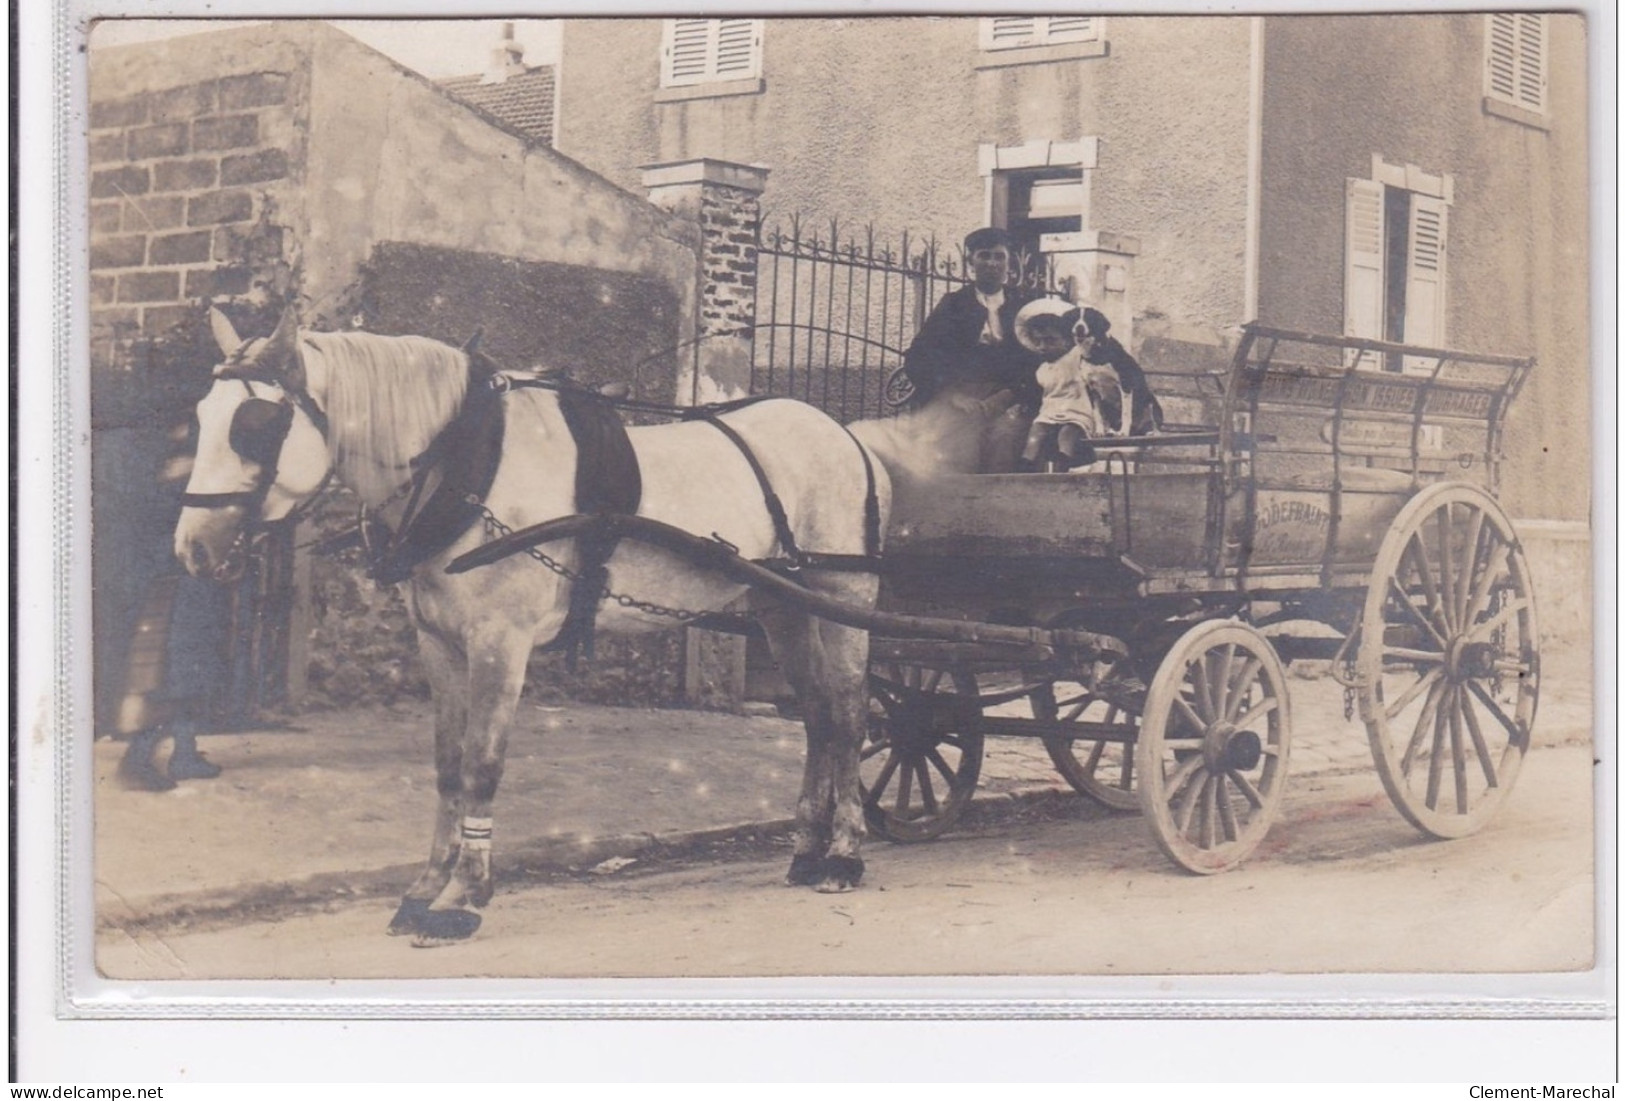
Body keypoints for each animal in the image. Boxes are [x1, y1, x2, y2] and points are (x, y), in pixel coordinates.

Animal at [179, 310, 897, 948]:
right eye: (202, 417)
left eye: (257, 424)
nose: (190, 549)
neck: (469, 464)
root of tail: (846, 436)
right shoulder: (438, 642)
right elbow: (447, 765)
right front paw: (425, 888)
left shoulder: (501, 640)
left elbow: (482, 763)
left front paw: (463, 896)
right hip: (783, 606)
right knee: (817, 717)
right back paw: (805, 850)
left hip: (844, 596)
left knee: (849, 714)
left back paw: (843, 853)